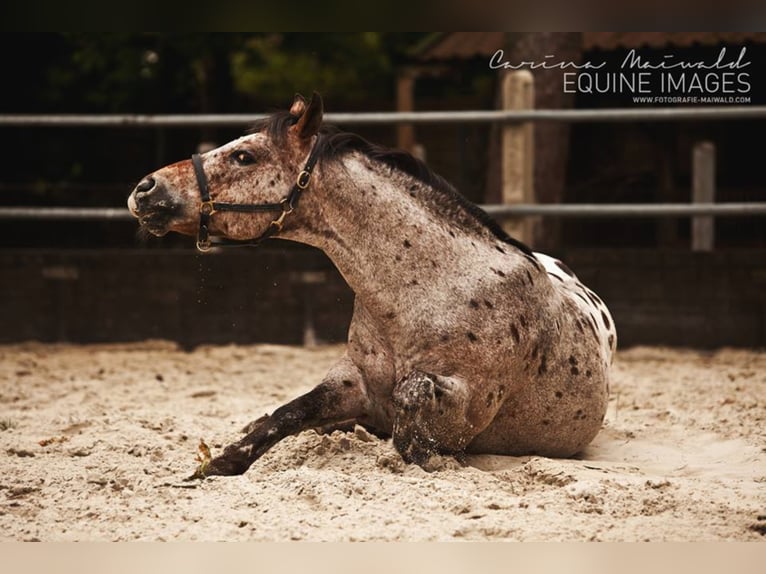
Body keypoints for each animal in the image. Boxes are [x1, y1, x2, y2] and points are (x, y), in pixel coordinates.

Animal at [128, 92, 617, 477]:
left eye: (244, 156)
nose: (145, 189)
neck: (433, 289)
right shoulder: (350, 380)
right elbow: (287, 414)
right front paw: (216, 463)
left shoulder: (466, 407)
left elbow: (411, 407)